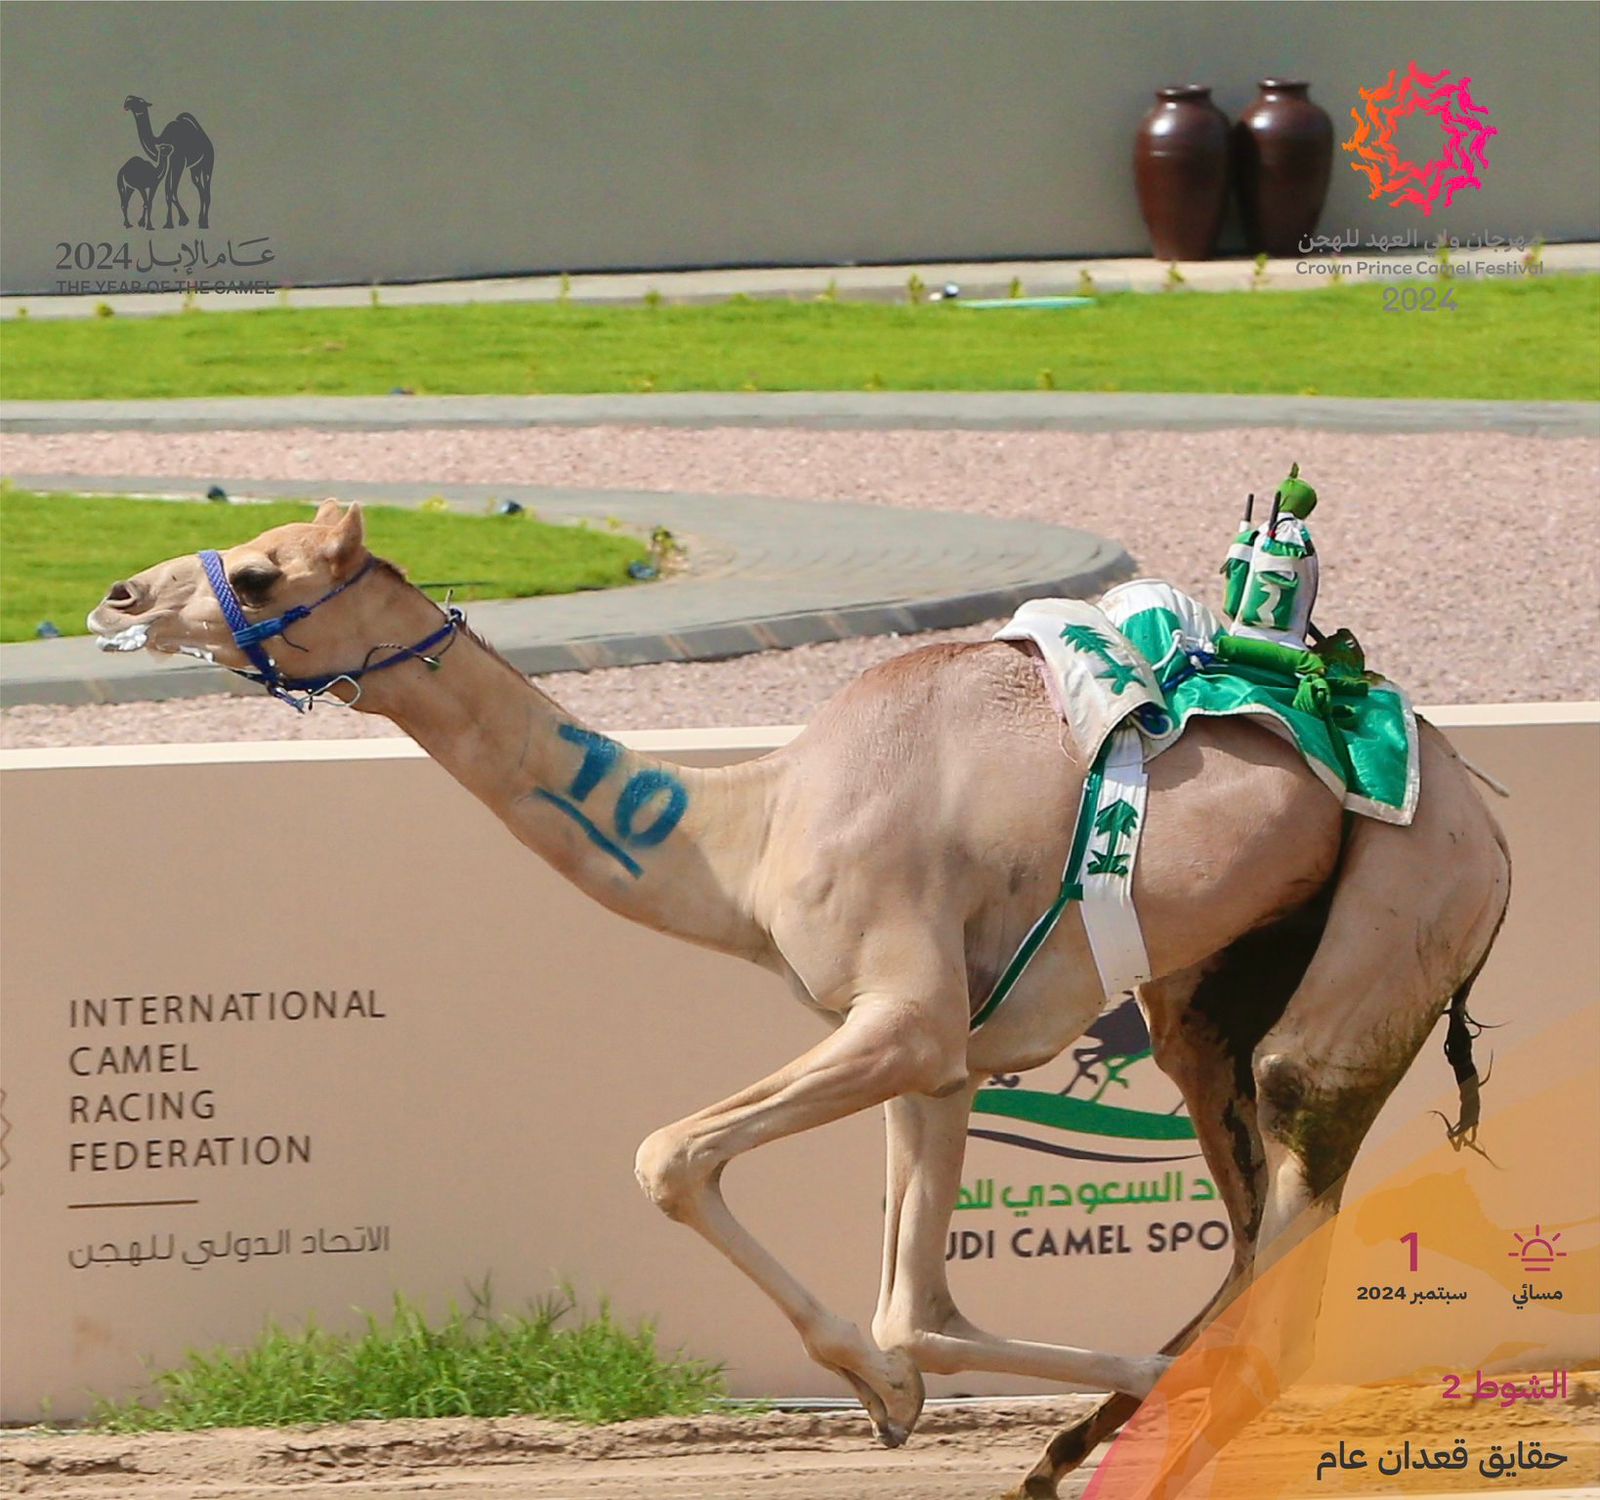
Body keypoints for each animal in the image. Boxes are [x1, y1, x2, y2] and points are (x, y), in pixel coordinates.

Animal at [88, 503, 1510, 1494]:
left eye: (262, 574)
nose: (118, 592)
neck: (750, 825)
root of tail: (1485, 809)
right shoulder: (936, 1056)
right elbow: (919, 1311)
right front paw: (901, 1397)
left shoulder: (904, 1014)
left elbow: (669, 1158)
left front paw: (878, 1391)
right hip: (1200, 998)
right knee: (1241, 1207)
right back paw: (1078, 1445)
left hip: (1403, 912)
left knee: (1292, 1159)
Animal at [123, 95, 214, 229]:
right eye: (129, 99)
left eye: (140, 101)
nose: (126, 102)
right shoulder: (170, 163)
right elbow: (168, 192)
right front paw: (171, 222)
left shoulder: (179, 162)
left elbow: (171, 191)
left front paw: (180, 221)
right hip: (195, 168)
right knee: (199, 187)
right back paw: (200, 221)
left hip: (208, 161)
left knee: (207, 188)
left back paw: (205, 223)